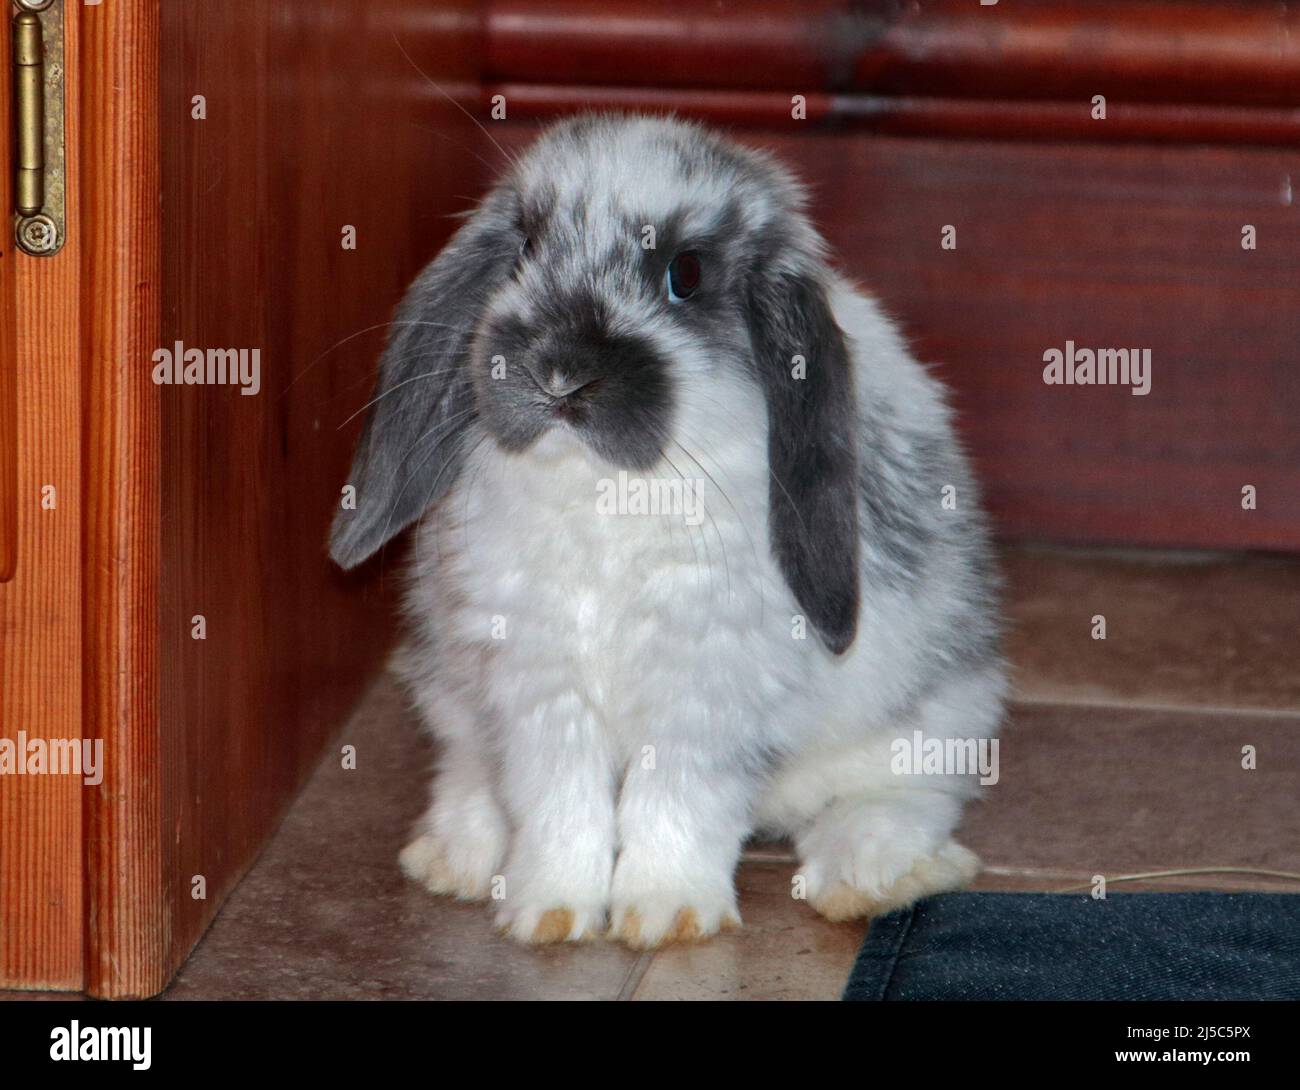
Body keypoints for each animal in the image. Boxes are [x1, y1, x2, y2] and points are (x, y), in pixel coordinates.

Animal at [330, 114, 1006, 948]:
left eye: (685, 274)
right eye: (524, 249)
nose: (558, 374)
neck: (603, 491)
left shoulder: (706, 688)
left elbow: (679, 800)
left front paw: (664, 916)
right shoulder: (536, 684)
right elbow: (558, 801)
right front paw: (548, 913)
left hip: (937, 713)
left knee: (905, 796)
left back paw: (868, 875)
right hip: (449, 692)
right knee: (469, 767)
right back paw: (455, 856)